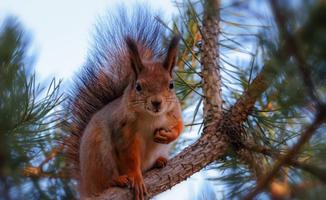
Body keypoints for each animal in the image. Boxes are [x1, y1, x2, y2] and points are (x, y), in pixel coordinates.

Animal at [64, 5, 183, 198]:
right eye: (138, 86)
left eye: (171, 84)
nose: (157, 102)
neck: (151, 117)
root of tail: (85, 186)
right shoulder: (123, 130)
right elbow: (130, 157)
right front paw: (136, 177)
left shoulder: (174, 113)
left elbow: (180, 126)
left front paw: (168, 135)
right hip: (99, 153)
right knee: (104, 181)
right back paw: (116, 180)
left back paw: (160, 160)